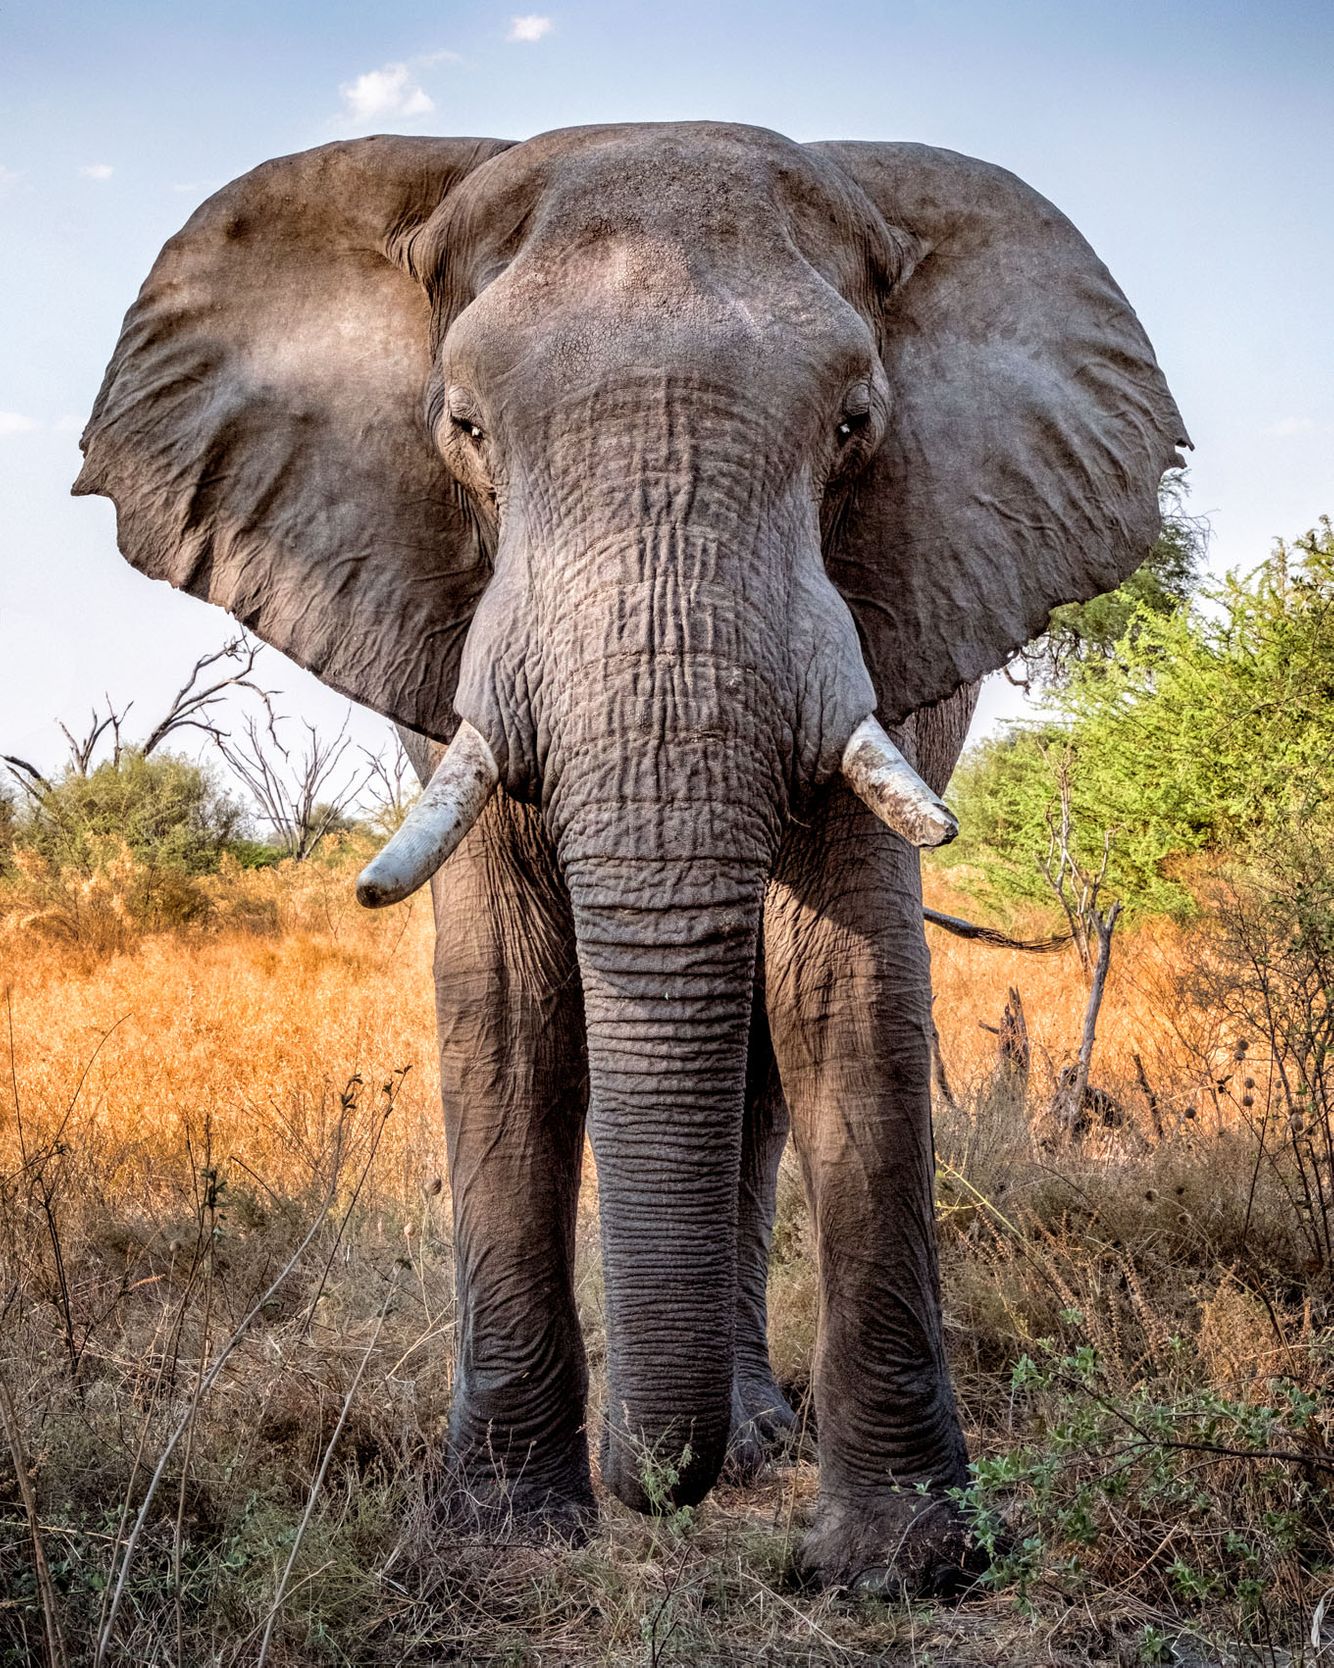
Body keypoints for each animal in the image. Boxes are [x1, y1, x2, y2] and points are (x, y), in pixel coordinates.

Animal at [75, 121, 1185, 1593]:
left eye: (853, 426)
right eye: (463, 428)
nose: (651, 1485)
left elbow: (846, 998)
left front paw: (905, 1566)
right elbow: (507, 1005)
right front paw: (499, 1543)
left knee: (761, 1064)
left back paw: (762, 1441)